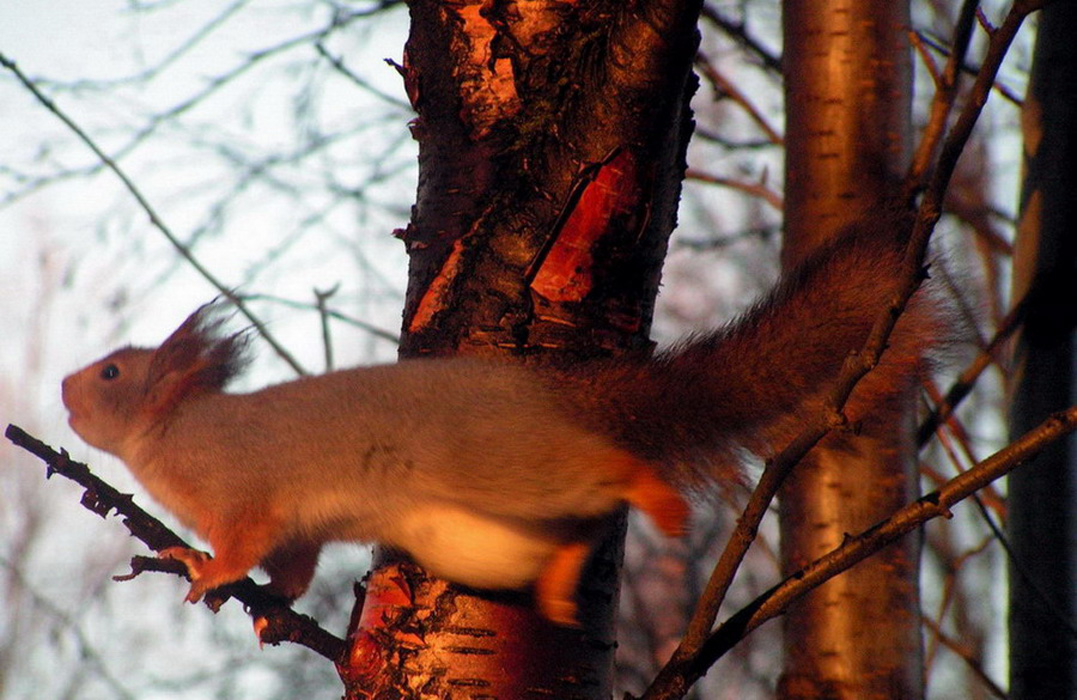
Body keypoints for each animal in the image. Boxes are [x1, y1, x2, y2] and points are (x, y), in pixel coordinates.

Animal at [63, 216, 947, 620]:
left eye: (112, 371)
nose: (65, 392)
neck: (171, 437)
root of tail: (550, 398)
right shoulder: (296, 532)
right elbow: (291, 571)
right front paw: (259, 607)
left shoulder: (246, 491)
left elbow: (245, 542)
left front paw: (203, 566)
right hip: (485, 535)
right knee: (576, 529)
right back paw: (557, 591)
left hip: (502, 466)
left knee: (608, 471)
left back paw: (654, 501)